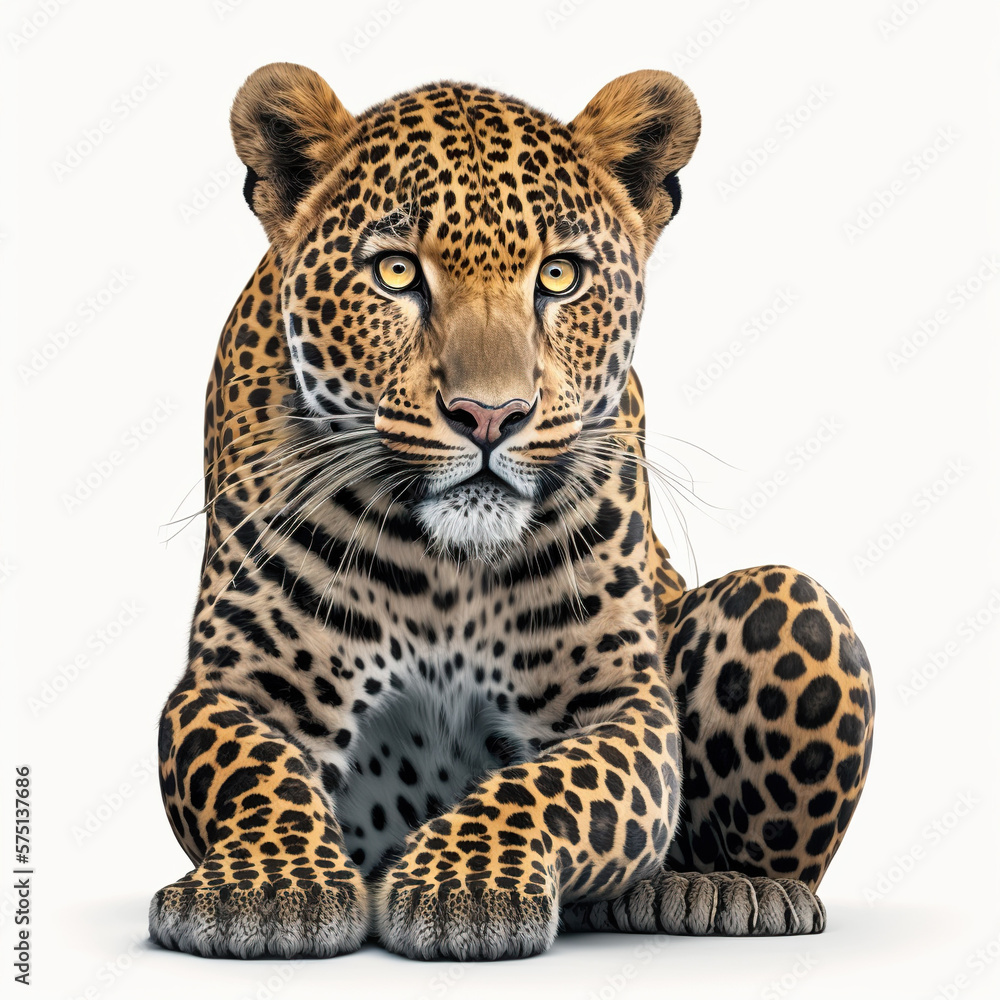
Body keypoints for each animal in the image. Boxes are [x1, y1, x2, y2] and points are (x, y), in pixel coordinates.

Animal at [148, 63, 875, 961]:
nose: (489, 416)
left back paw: (722, 889)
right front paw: (266, 885)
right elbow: (258, 775)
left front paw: (463, 883)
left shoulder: (622, 703)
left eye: (558, 276)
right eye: (396, 272)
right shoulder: (232, 687)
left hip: (791, 602)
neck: (442, 570)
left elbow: (550, 786)